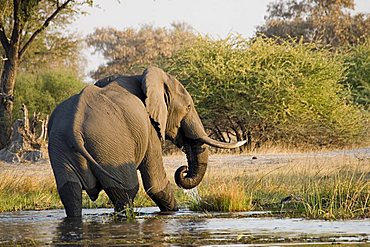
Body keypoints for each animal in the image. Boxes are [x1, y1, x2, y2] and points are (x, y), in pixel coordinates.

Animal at [48, 66, 246, 217]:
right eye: (188, 107)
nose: (183, 170)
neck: (141, 77)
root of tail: (74, 129)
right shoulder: (150, 128)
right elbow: (156, 184)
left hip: (60, 148)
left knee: (70, 193)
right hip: (111, 149)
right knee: (126, 191)